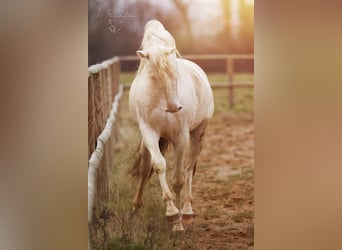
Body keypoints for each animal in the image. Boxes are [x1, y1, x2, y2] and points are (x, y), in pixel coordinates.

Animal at [128, 20, 214, 231]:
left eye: (175, 74)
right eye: (153, 77)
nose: (174, 107)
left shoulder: (181, 138)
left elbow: (178, 179)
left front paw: (179, 221)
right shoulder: (149, 133)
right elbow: (159, 166)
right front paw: (172, 213)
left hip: (197, 134)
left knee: (189, 168)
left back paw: (188, 212)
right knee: (145, 168)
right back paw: (136, 209)